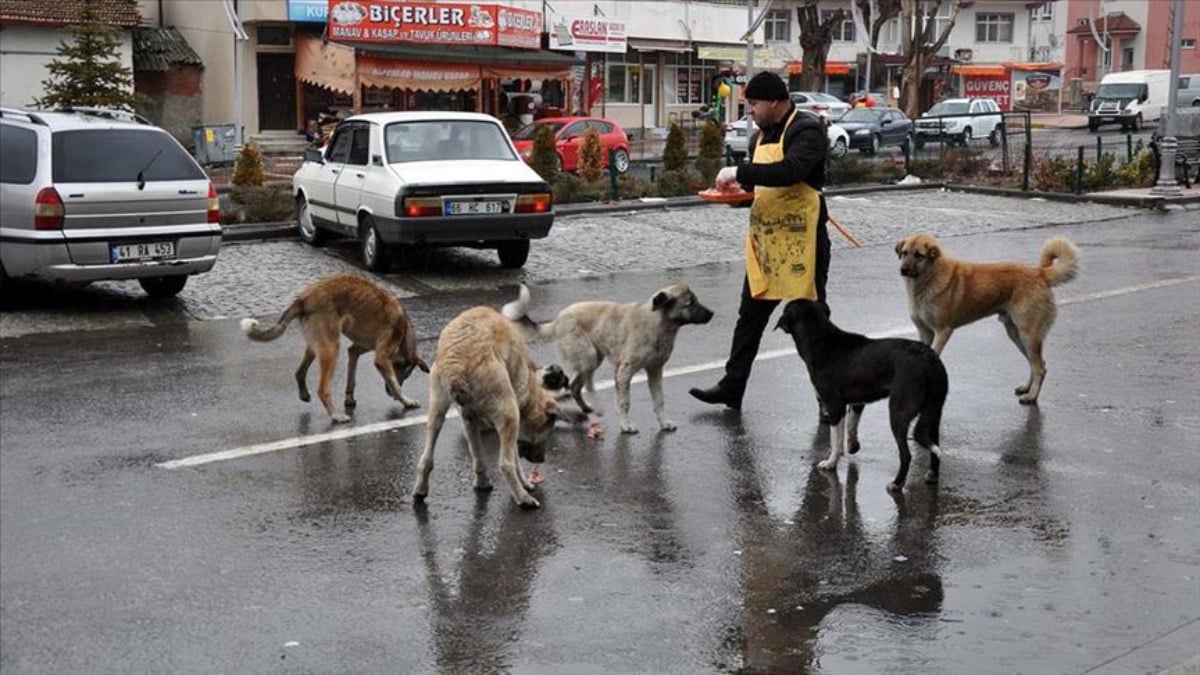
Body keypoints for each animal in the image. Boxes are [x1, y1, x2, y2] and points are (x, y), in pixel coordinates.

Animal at [241, 271, 429, 420]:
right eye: (400, 370)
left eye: (406, 375)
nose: (389, 394)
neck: (404, 331)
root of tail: (305, 298)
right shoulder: (382, 359)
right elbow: (395, 384)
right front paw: (406, 401)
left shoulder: (355, 350)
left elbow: (352, 379)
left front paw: (350, 399)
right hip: (332, 349)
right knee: (322, 389)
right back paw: (335, 416)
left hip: (317, 345)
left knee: (299, 372)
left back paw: (304, 394)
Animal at [412, 303, 576, 504]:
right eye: (548, 430)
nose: (542, 460)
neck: (530, 387)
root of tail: (457, 363)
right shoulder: (512, 420)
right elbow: (514, 460)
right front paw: (525, 483)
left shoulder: (469, 420)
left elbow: (478, 456)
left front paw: (482, 482)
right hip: (508, 413)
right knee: (506, 465)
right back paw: (523, 498)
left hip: (436, 410)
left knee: (426, 458)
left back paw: (421, 489)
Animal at [499, 282, 710, 429]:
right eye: (690, 303)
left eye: (696, 300)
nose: (712, 313)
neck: (657, 323)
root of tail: (557, 320)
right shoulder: (624, 371)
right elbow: (624, 402)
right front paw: (626, 425)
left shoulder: (655, 371)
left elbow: (659, 401)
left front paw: (664, 422)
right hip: (589, 357)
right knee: (584, 384)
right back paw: (596, 406)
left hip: (593, 358)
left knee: (576, 385)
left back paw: (587, 407)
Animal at [777, 302, 945, 492]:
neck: (819, 339)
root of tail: (929, 359)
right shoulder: (857, 402)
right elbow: (851, 425)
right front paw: (852, 446)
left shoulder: (834, 405)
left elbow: (836, 440)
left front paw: (830, 463)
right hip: (934, 411)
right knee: (935, 446)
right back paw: (932, 475)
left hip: (899, 412)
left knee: (906, 454)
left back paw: (896, 483)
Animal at [897, 233, 1084, 398]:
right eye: (904, 253)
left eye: (919, 255)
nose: (903, 270)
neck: (929, 278)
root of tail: (1040, 273)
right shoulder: (925, 333)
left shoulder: (943, 331)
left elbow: (933, 355)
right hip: (1016, 335)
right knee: (1035, 364)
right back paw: (1027, 388)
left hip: (1028, 334)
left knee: (1039, 367)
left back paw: (1031, 396)